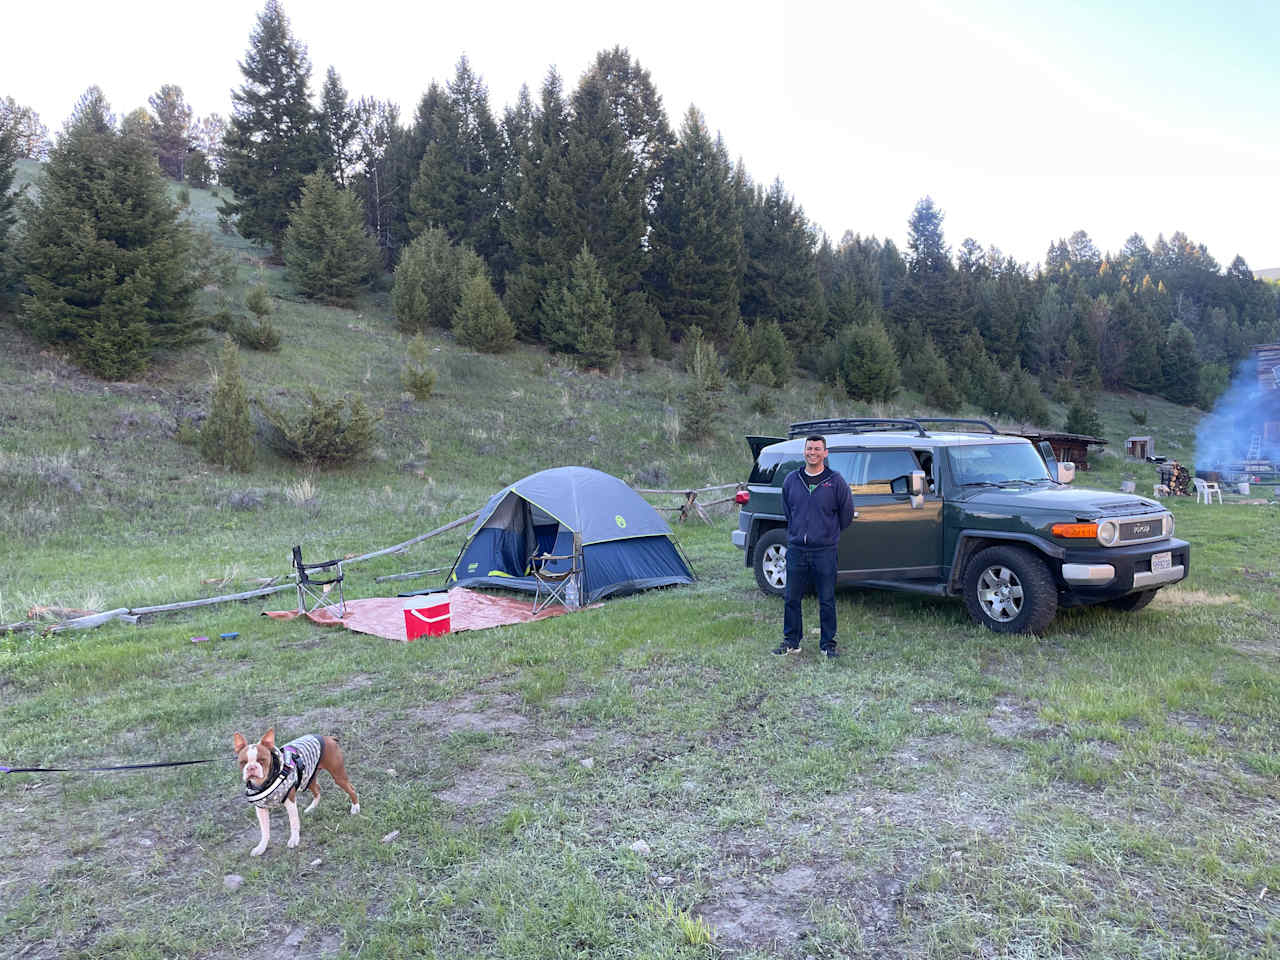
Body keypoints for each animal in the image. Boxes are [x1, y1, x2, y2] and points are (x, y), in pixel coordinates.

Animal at [230, 727, 358, 855]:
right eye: (242, 762)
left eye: (262, 760)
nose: (251, 767)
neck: (265, 782)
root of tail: (327, 738)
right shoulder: (261, 809)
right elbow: (265, 831)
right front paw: (261, 847)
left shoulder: (290, 801)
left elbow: (294, 823)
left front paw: (294, 839)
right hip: (308, 778)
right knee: (317, 790)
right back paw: (311, 808)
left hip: (338, 776)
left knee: (351, 789)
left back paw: (355, 808)